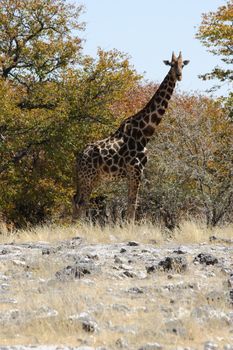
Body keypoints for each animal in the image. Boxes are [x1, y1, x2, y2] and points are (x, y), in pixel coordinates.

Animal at [73, 51, 189, 221]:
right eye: (172, 64)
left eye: (183, 65)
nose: (179, 75)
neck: (145, 133)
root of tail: (79, 156)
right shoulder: (136, 170)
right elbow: (132, 205)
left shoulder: (134, 173)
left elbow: (130, 203)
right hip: (89, 176)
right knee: (82, 202)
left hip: (89, 177)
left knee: (77, 200)